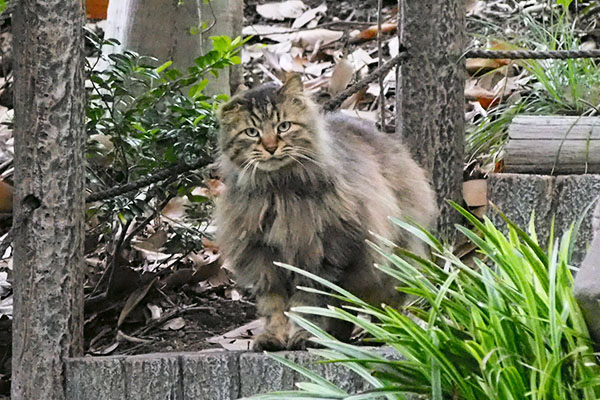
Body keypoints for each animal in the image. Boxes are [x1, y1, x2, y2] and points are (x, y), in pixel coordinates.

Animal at [216, 75, 436, 350]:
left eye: (283, 127)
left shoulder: (321, 254)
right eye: (252, 132)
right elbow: (274, 307)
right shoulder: (265, 260)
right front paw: (273, 338)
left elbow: (307, 305)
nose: (270, 147)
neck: (278, 190)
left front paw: (304, 335)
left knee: (382, 304)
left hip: (388, 263)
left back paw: (382, 334)